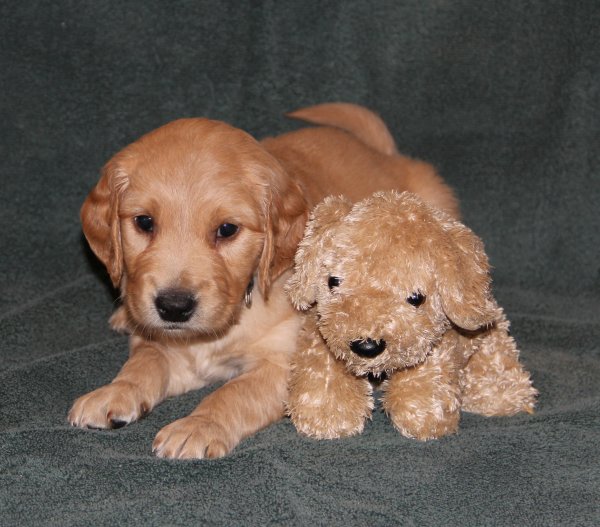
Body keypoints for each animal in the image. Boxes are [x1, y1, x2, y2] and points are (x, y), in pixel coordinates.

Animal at [69, 102, 460, 458]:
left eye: (227, 230)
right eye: (144, 222)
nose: (174, 307)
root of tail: (383, 154)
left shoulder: (288, 364)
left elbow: (233, 393)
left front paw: (198, 425)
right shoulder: (168, 346)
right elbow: (144, 362)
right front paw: (114, 392)